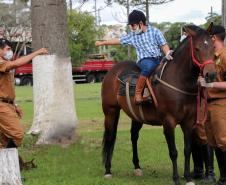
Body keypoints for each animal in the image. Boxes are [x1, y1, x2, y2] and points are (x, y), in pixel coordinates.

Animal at [101, 24, 216, 185]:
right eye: (197, 48)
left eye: (212, 47)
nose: (210, 75)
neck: (178, 81)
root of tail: (113, 71)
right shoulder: (168, 122)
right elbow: (173, 152)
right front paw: (176, 179)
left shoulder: (188, 122)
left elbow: (187, 150)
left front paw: (188, 177)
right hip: (110, 111)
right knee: (110, 137)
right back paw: (107, 170)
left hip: (136, 116)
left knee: (133, 137)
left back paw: (137, 167)